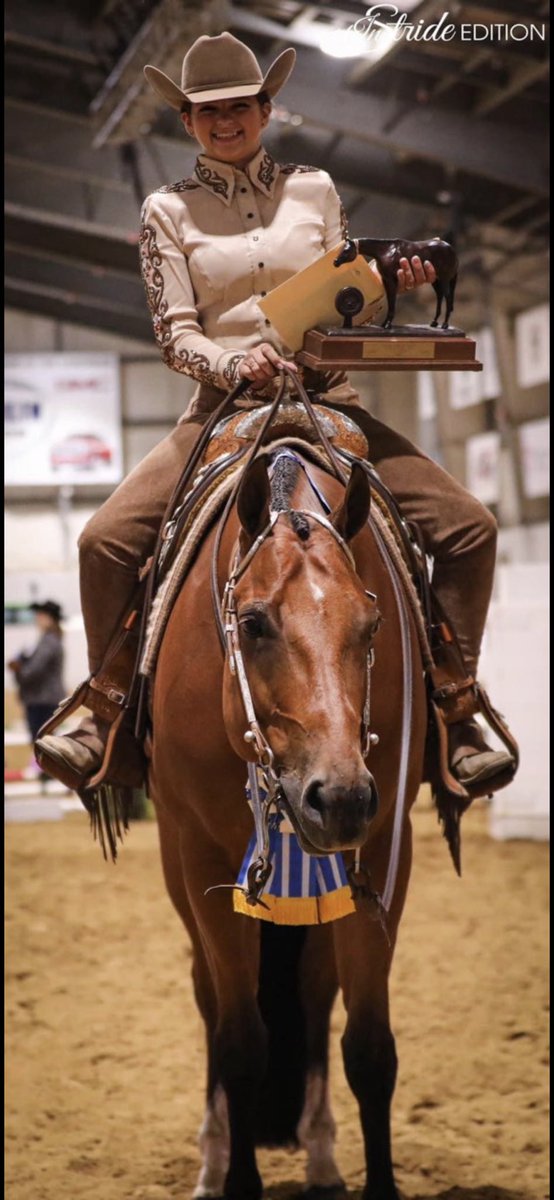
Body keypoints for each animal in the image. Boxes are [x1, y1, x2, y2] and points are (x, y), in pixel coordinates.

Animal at [149, 433, 428, 1200]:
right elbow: (242, 1040)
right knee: (209, 999)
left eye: (371, 624)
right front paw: (237, 1178)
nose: (339, 796)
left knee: (312, 995)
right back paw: (213, 1162)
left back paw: (323, 1160)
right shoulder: (206, 859)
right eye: (252, 623)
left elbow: (369, 1046)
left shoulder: (382, 847)